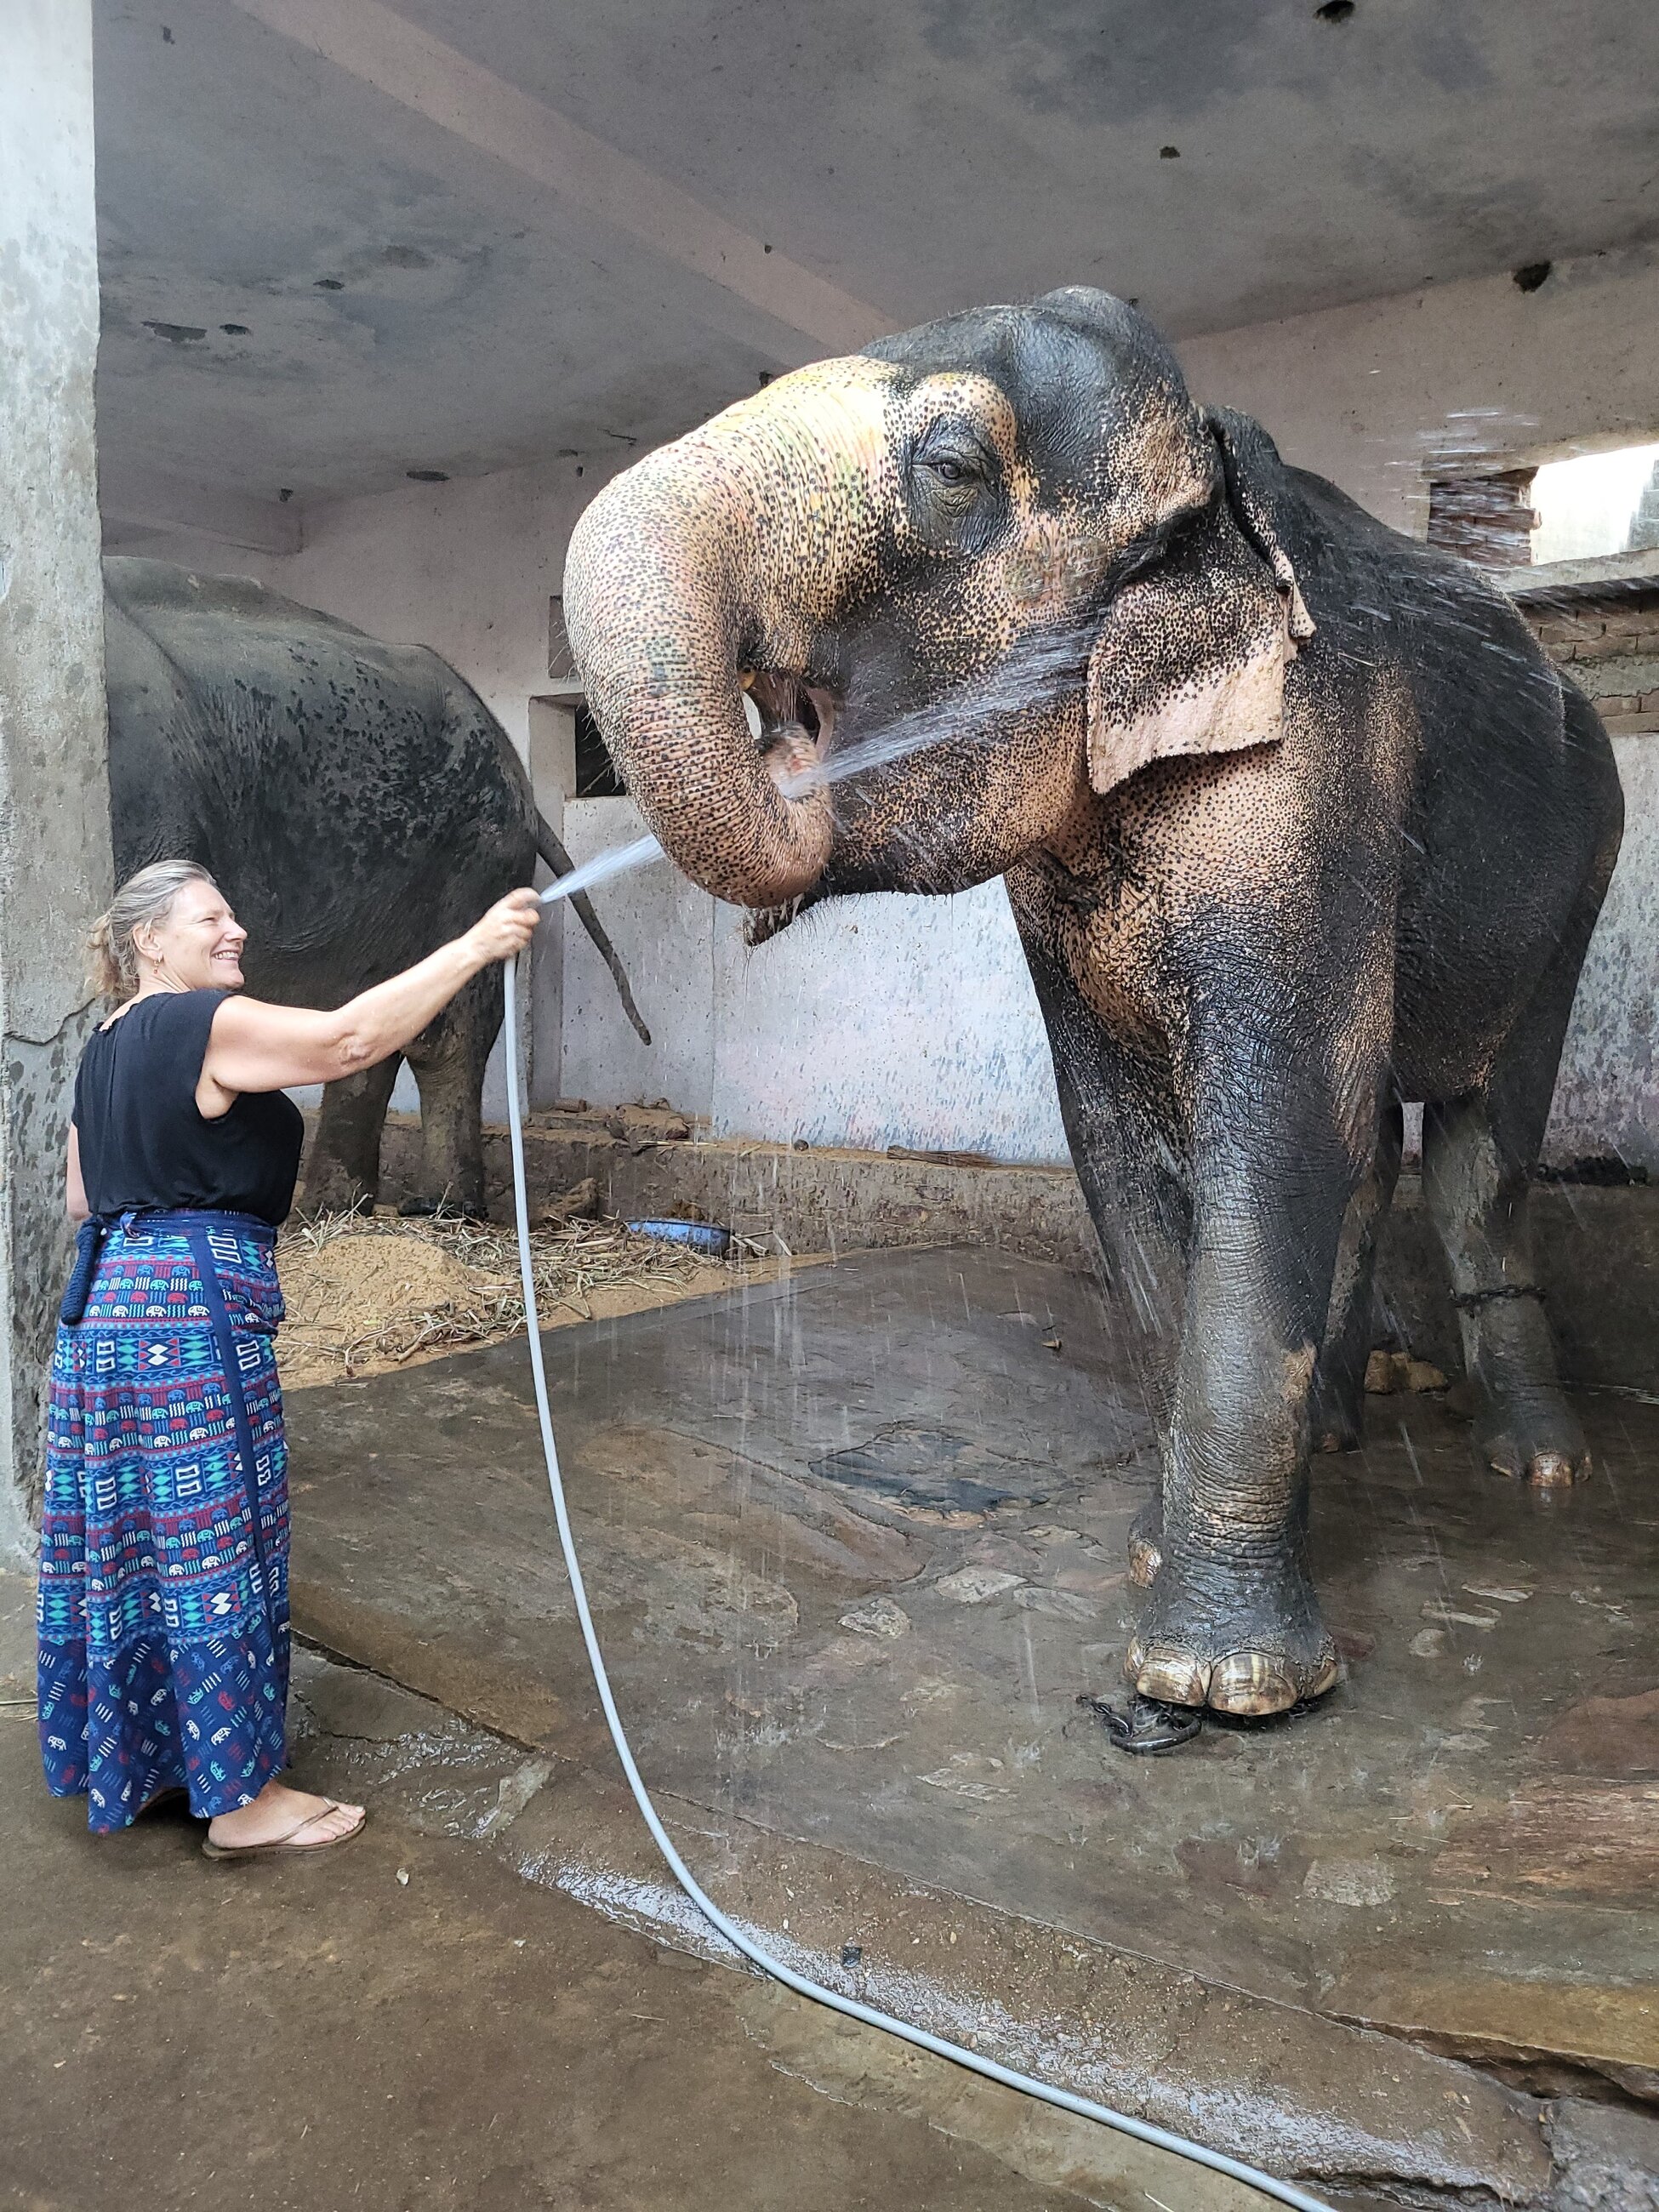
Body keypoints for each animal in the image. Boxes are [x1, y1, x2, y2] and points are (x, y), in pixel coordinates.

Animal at [103, 556, 647, 1217]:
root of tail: (521, 777)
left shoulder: (143, 802)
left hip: (475, 853)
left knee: (451, 1029)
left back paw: (440, 1208)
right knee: (370, 1011)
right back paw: (334, 1209)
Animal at [562, 287, 1623, 1722]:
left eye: (952, 468)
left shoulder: (1310, 771)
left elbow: (1270, 1133)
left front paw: (1216, 1683)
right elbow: (1121, 1146)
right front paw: (1156, 1551)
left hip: (1581, 873)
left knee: (1476, 1149)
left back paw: (1536, 1468)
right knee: (1371, 1160)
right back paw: (1343, 1439)